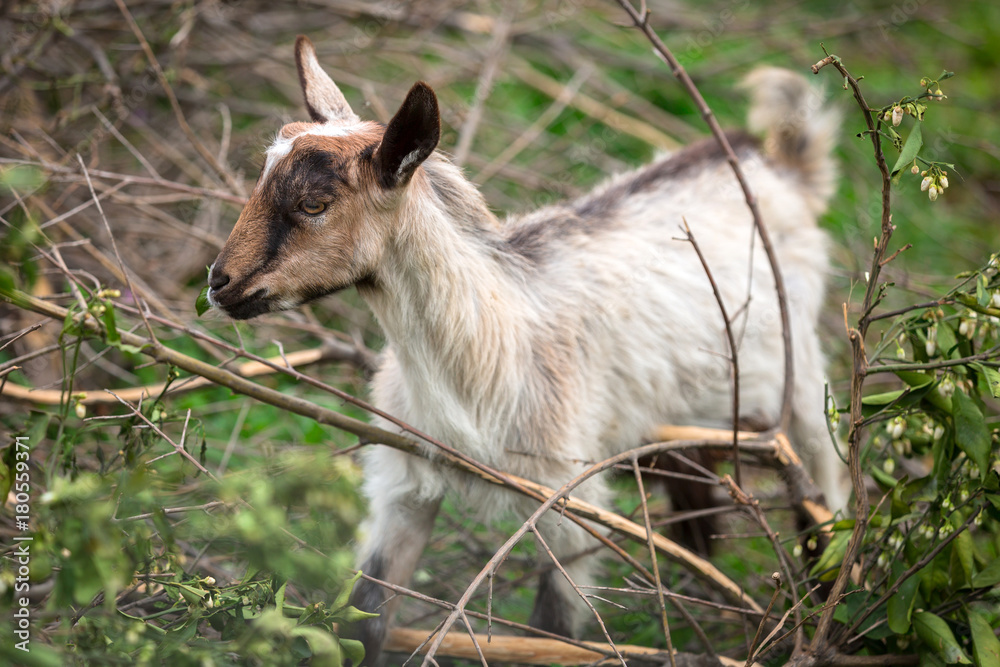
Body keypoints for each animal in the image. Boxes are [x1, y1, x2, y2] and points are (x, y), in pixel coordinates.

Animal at [209, 37, 844, 667]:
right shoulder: (401, 489)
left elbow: (551, 635)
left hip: (801, 383)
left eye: (315, 204)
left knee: (823, 489)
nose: (219, 283)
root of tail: (777, 163)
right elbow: (364, 620)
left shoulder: (568, 502)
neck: (491, 348)